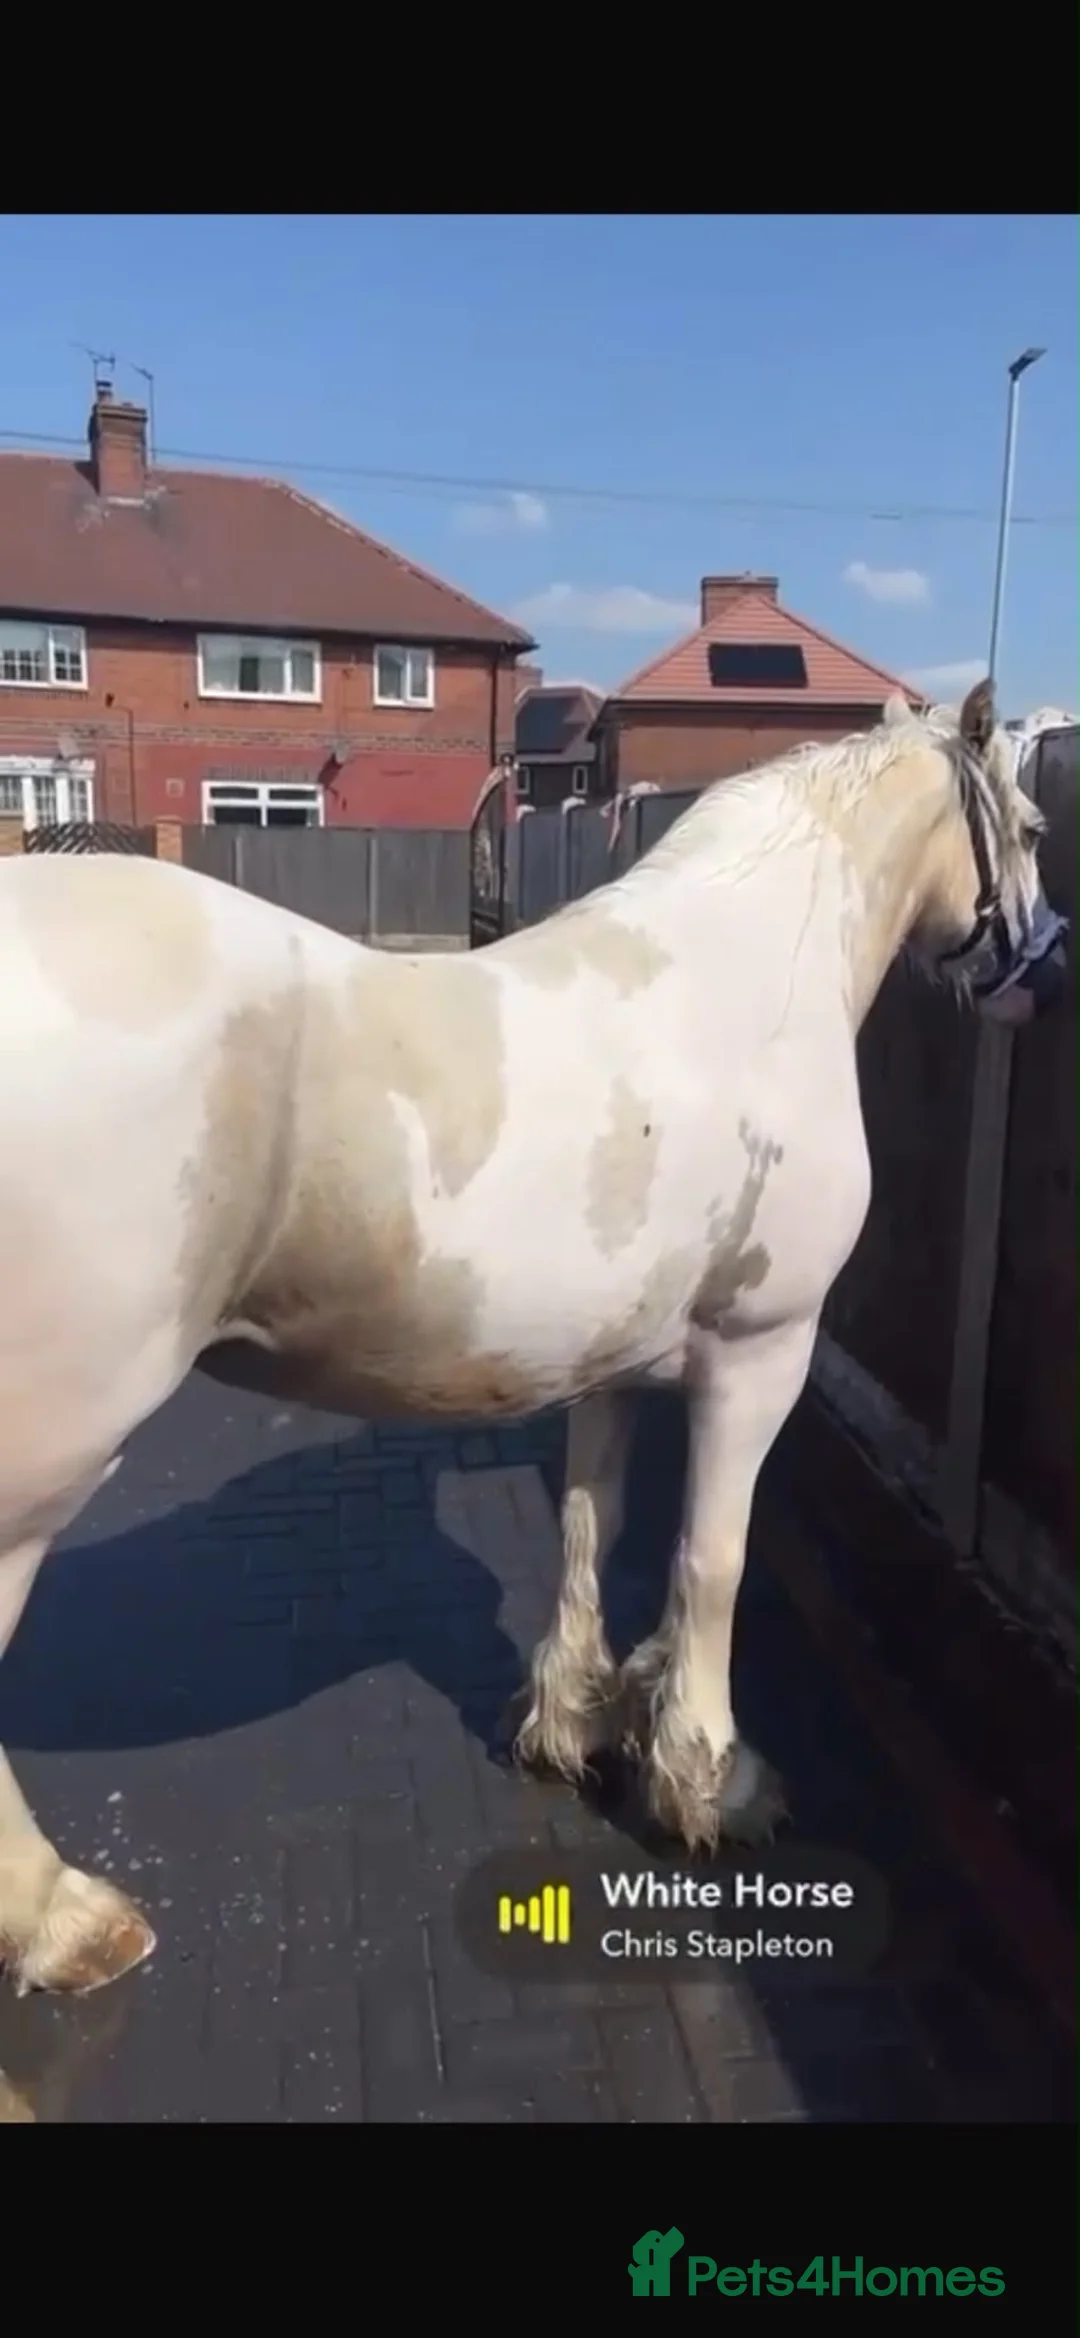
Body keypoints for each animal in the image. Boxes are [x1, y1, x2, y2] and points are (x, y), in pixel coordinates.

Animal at [0, 678, 1066, 1998]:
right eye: (1030, 825)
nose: (1041, 976)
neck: (744, 984)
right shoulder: (762, 1351)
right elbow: (713, 1560)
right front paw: (711, 1780)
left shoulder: (612, 1361)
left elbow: (590, 1528)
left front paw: (578, 1724)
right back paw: (67, 1923)